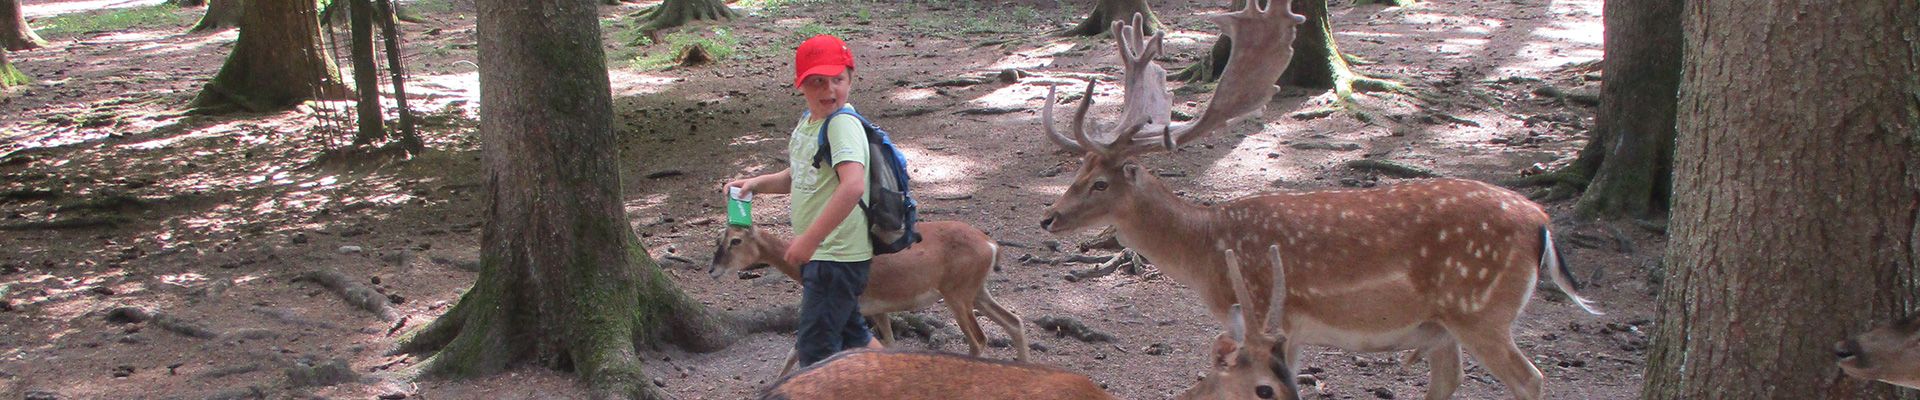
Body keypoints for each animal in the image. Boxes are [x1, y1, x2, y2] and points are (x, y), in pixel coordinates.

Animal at [710, 219, 1036, 375]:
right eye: (718, 239)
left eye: (735, 241)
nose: (713, 269)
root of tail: (992, 245)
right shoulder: (876, 307)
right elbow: (887, 345)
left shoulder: (849, 306)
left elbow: (802, 348)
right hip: (976, 290)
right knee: (1014, 321)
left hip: (958, 291)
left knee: (979, 339)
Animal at [1036, 3, 1605, 400]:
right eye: (1077, 170)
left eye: (1100, 183)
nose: (1048, 217)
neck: (1207, 250)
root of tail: (1541, 221)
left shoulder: (1275, 312)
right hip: (1446, 325)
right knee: (1450, 381)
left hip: (1481, 310)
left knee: (1531, 379)